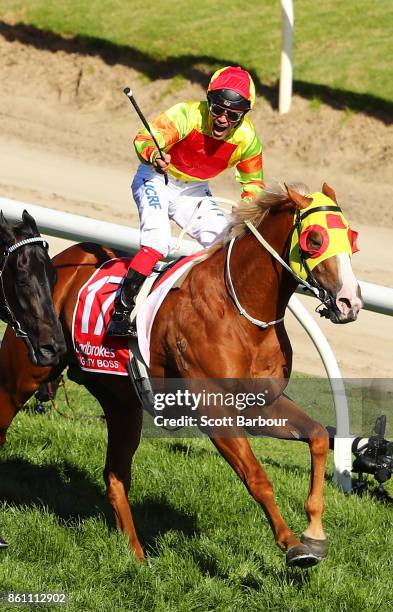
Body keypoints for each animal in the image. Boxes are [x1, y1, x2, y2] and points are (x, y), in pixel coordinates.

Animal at [0, 183, 362, 568]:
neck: (239, 307)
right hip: (22, 374)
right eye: (315, 239)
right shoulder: (214, 410)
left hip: (122, 403)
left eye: (352, 239)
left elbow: (319, 436)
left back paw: (137, 556)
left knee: (115, 475)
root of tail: (62, 263)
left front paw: (315, 535)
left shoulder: (261, 404)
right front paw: (293, 544)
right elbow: (257, 477)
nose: (349, 302)